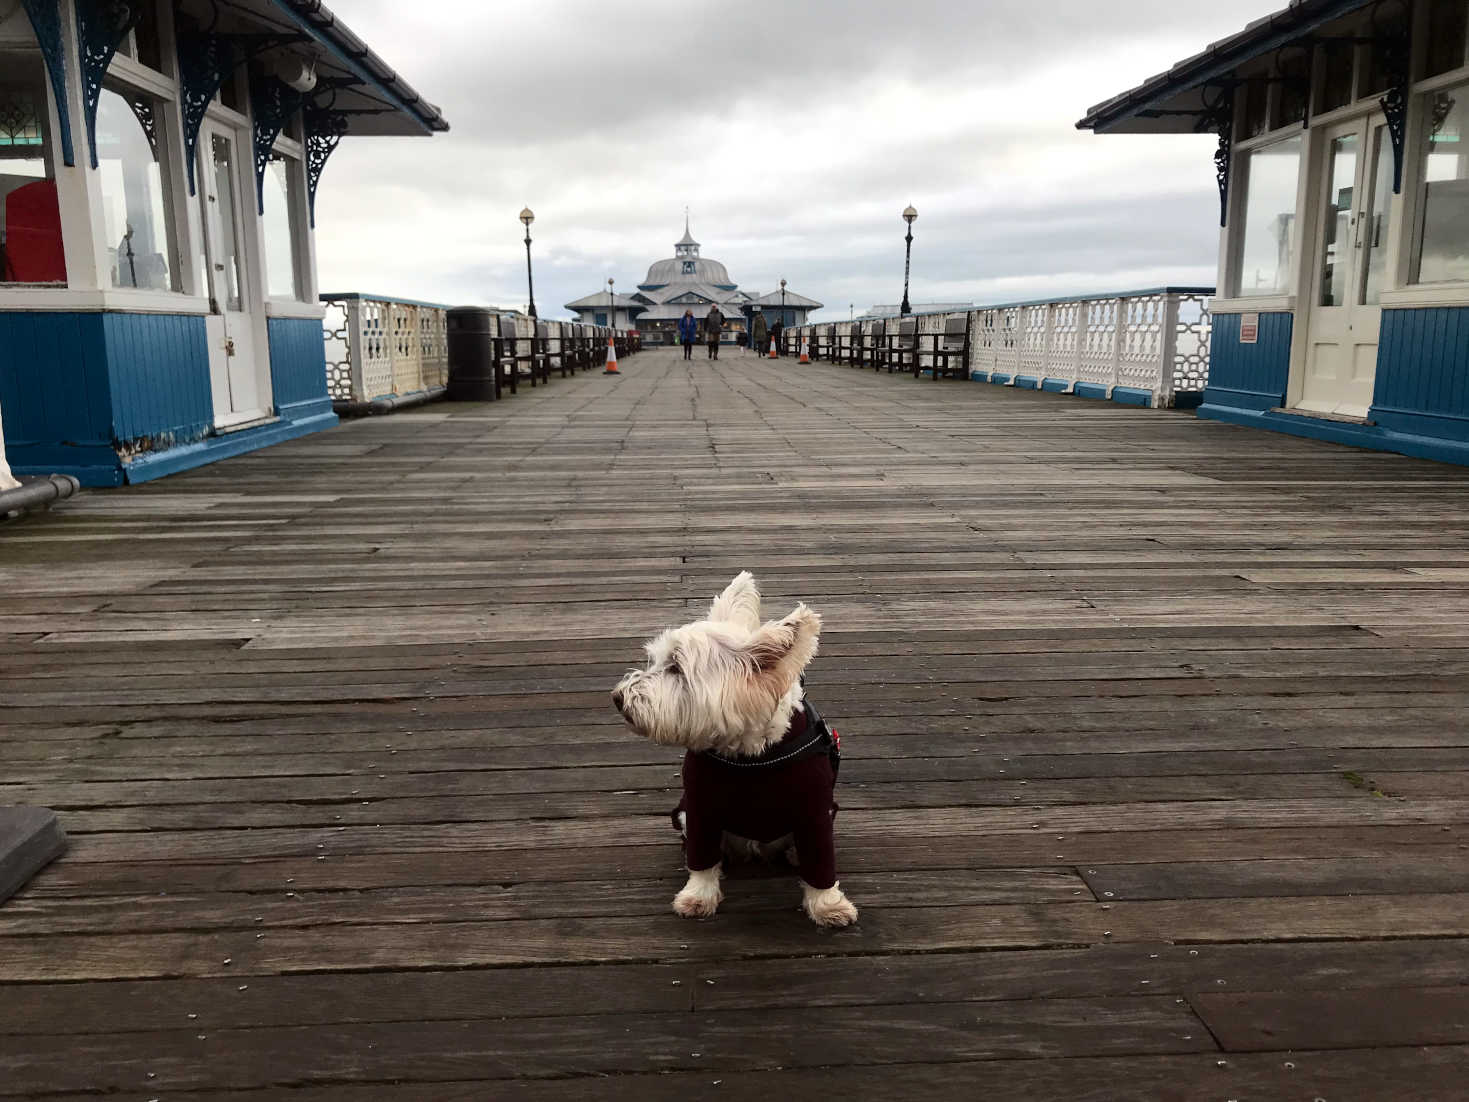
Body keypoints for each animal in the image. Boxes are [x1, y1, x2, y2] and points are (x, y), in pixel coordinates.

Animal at [611, 573, 857, 928]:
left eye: (676, 668)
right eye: (655, 660)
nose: (618, 697)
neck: (750, 756)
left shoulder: (815, 813)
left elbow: (821, 865)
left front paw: (828, 905)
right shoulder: (699, 808)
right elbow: (702, 859)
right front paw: (698, 896)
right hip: (685, 816)